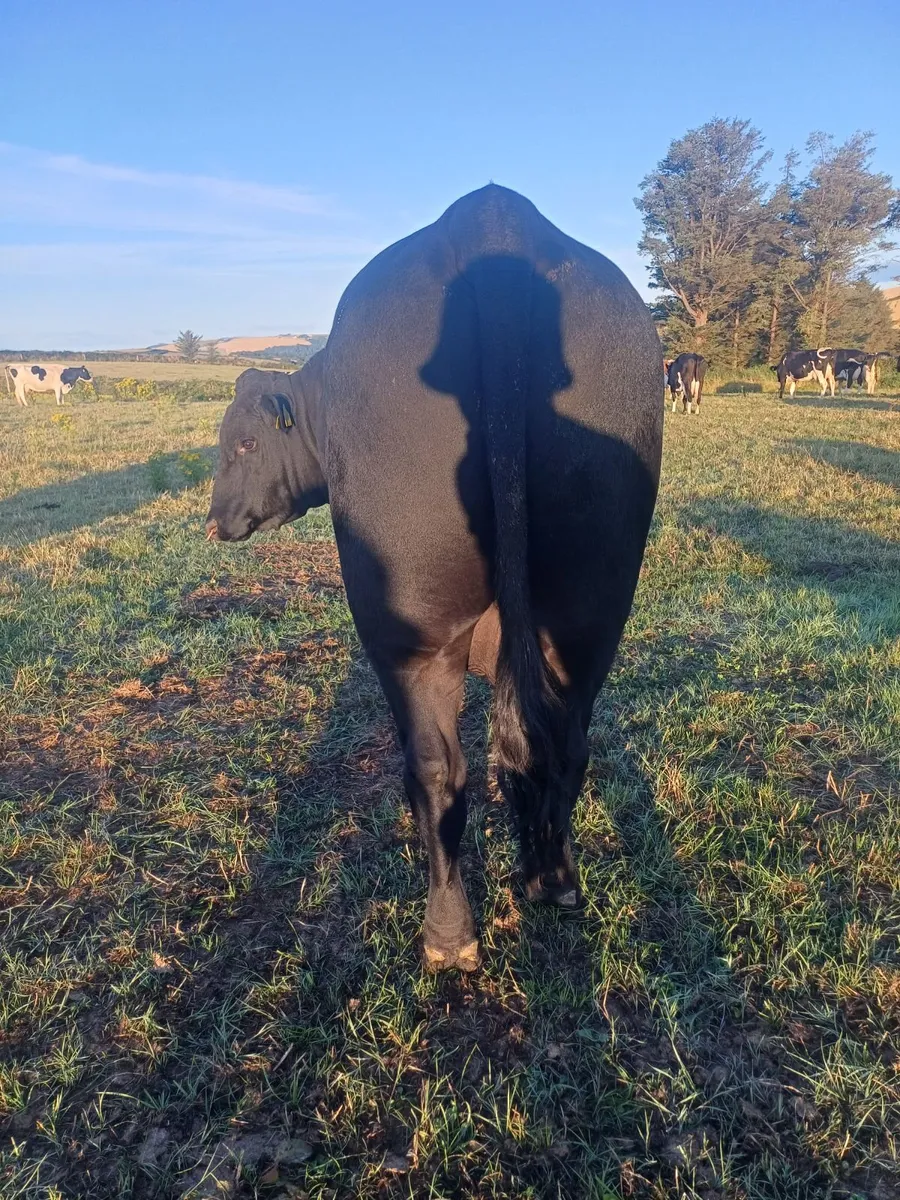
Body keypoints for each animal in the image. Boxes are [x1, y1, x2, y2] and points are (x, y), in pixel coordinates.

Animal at [206, 185, 663, 972]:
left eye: (244, 443)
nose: (214, 520)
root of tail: (492, 219)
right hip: (590, 612)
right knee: (564, 743)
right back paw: (553, 882)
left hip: (410, 630)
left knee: (436, 767)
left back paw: (447, 934)